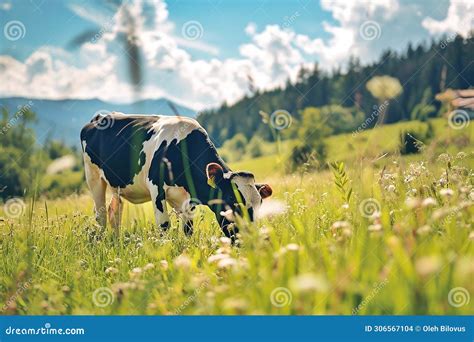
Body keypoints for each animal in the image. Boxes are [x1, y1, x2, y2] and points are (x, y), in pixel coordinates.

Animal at [80, 113, 272, 240]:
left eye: (260, 203)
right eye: (231, 198)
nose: (249, 238)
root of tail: (100, 117)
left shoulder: (188, 200)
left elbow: (188, 230)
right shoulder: (156, 188)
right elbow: (164, 225)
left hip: (116, 187)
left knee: (115, 211)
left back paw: (117, 240)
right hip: (93, 178)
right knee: (101, 215)